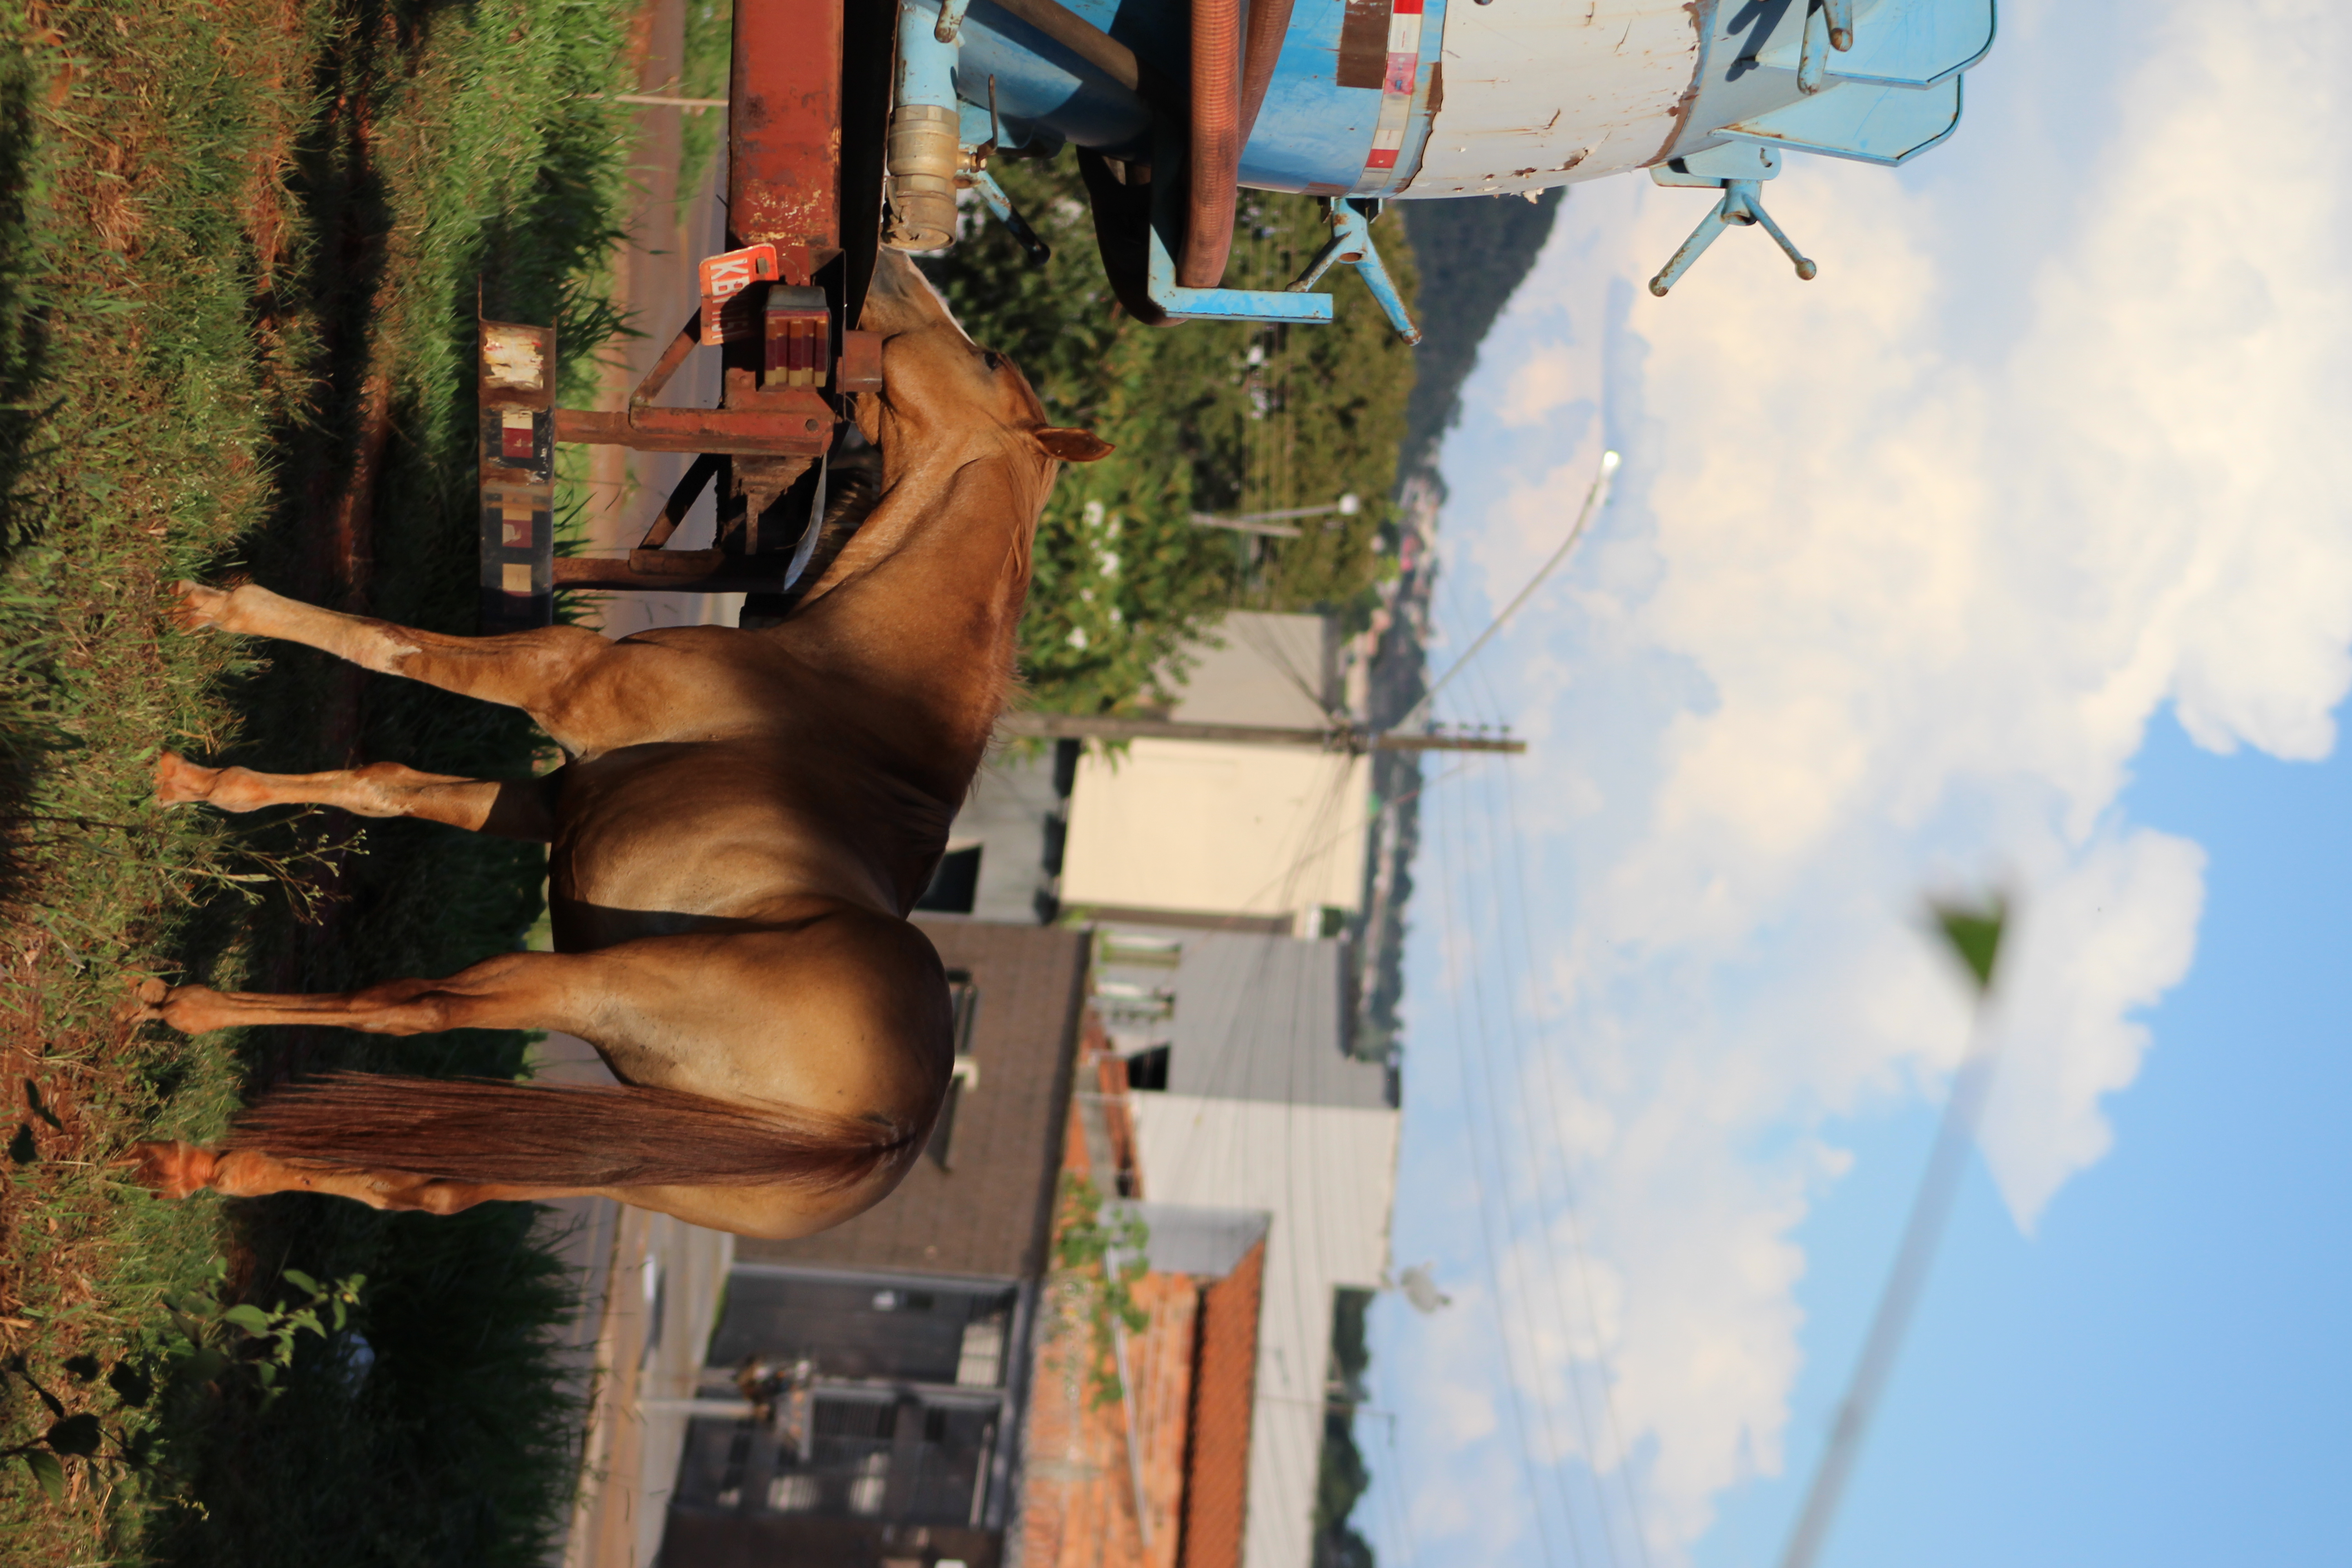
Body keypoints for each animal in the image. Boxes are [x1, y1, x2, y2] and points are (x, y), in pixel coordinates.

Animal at [128, 251, 1111, 1241]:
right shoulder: (549, 799)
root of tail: (883, 1132)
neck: (835, 680)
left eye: (984, 357)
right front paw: (196, 783)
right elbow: (383, 783)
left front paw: (218, 608)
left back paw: (182, 1014)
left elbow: (384, 644)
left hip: (591, 983)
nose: (893, 267)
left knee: (408, 1009)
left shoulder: (555, 680)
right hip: (632, 1161)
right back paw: (204, 1166)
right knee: (429, 1184)